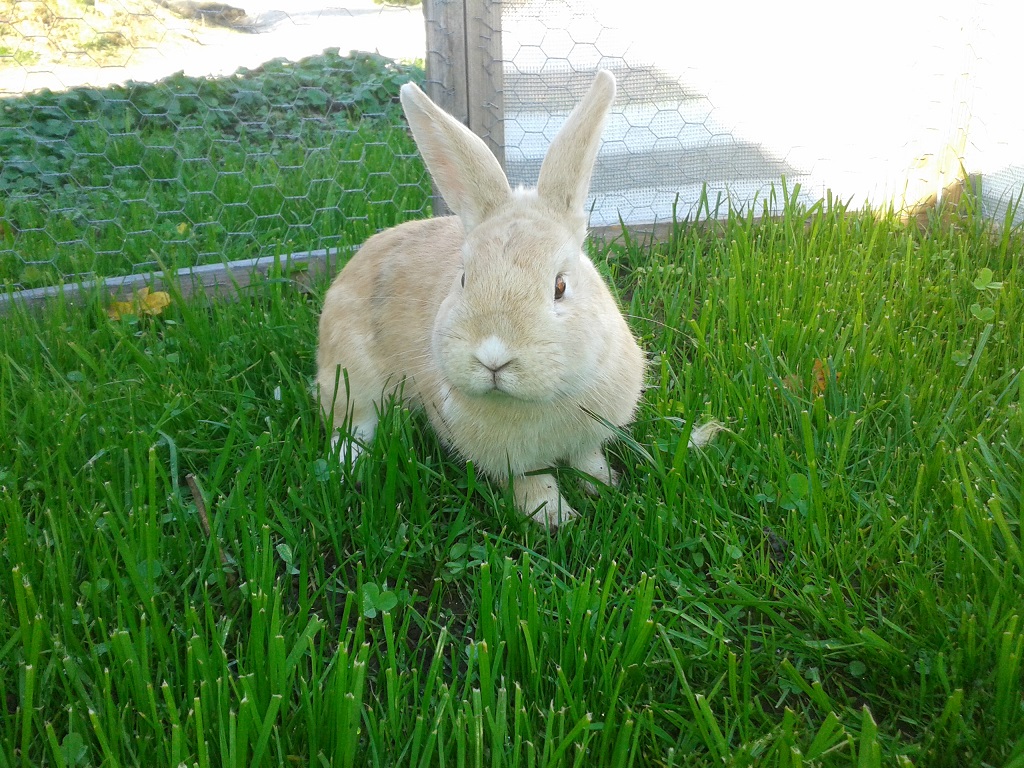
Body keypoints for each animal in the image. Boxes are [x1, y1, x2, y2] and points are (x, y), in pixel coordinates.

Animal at [315, 70, 647, 529]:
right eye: (463, 279)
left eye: (560, 286)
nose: (494, 357)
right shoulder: (515, 462)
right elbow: (534, 483)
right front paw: (556, 518)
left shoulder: (589, 436)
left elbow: (587, 460)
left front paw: (605, 485)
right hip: (349, 373)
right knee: (353, 422)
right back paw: (348, 466)